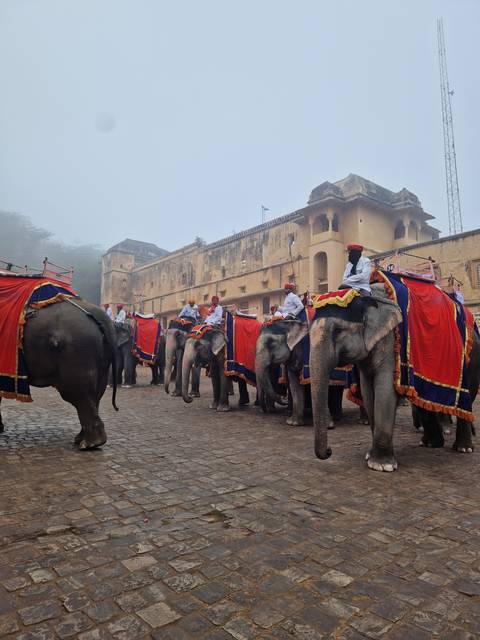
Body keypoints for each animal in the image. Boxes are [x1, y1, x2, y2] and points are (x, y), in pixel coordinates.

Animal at [0, 299, 117, 449]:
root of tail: (101, 317)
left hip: (77, 355)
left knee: (79, 394)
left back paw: (88, 444)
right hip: (101, 361)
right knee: (95, 395)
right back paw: (81, 439)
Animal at [305, 284, 480, 472]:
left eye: (338, 331)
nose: (329, 451)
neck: (368, 296)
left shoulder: (390, 343)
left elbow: (384, 390)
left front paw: (381, 465)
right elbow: (368, 393)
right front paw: (371, 456)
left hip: (471, 359)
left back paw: (463, 448)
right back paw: (431, 443)